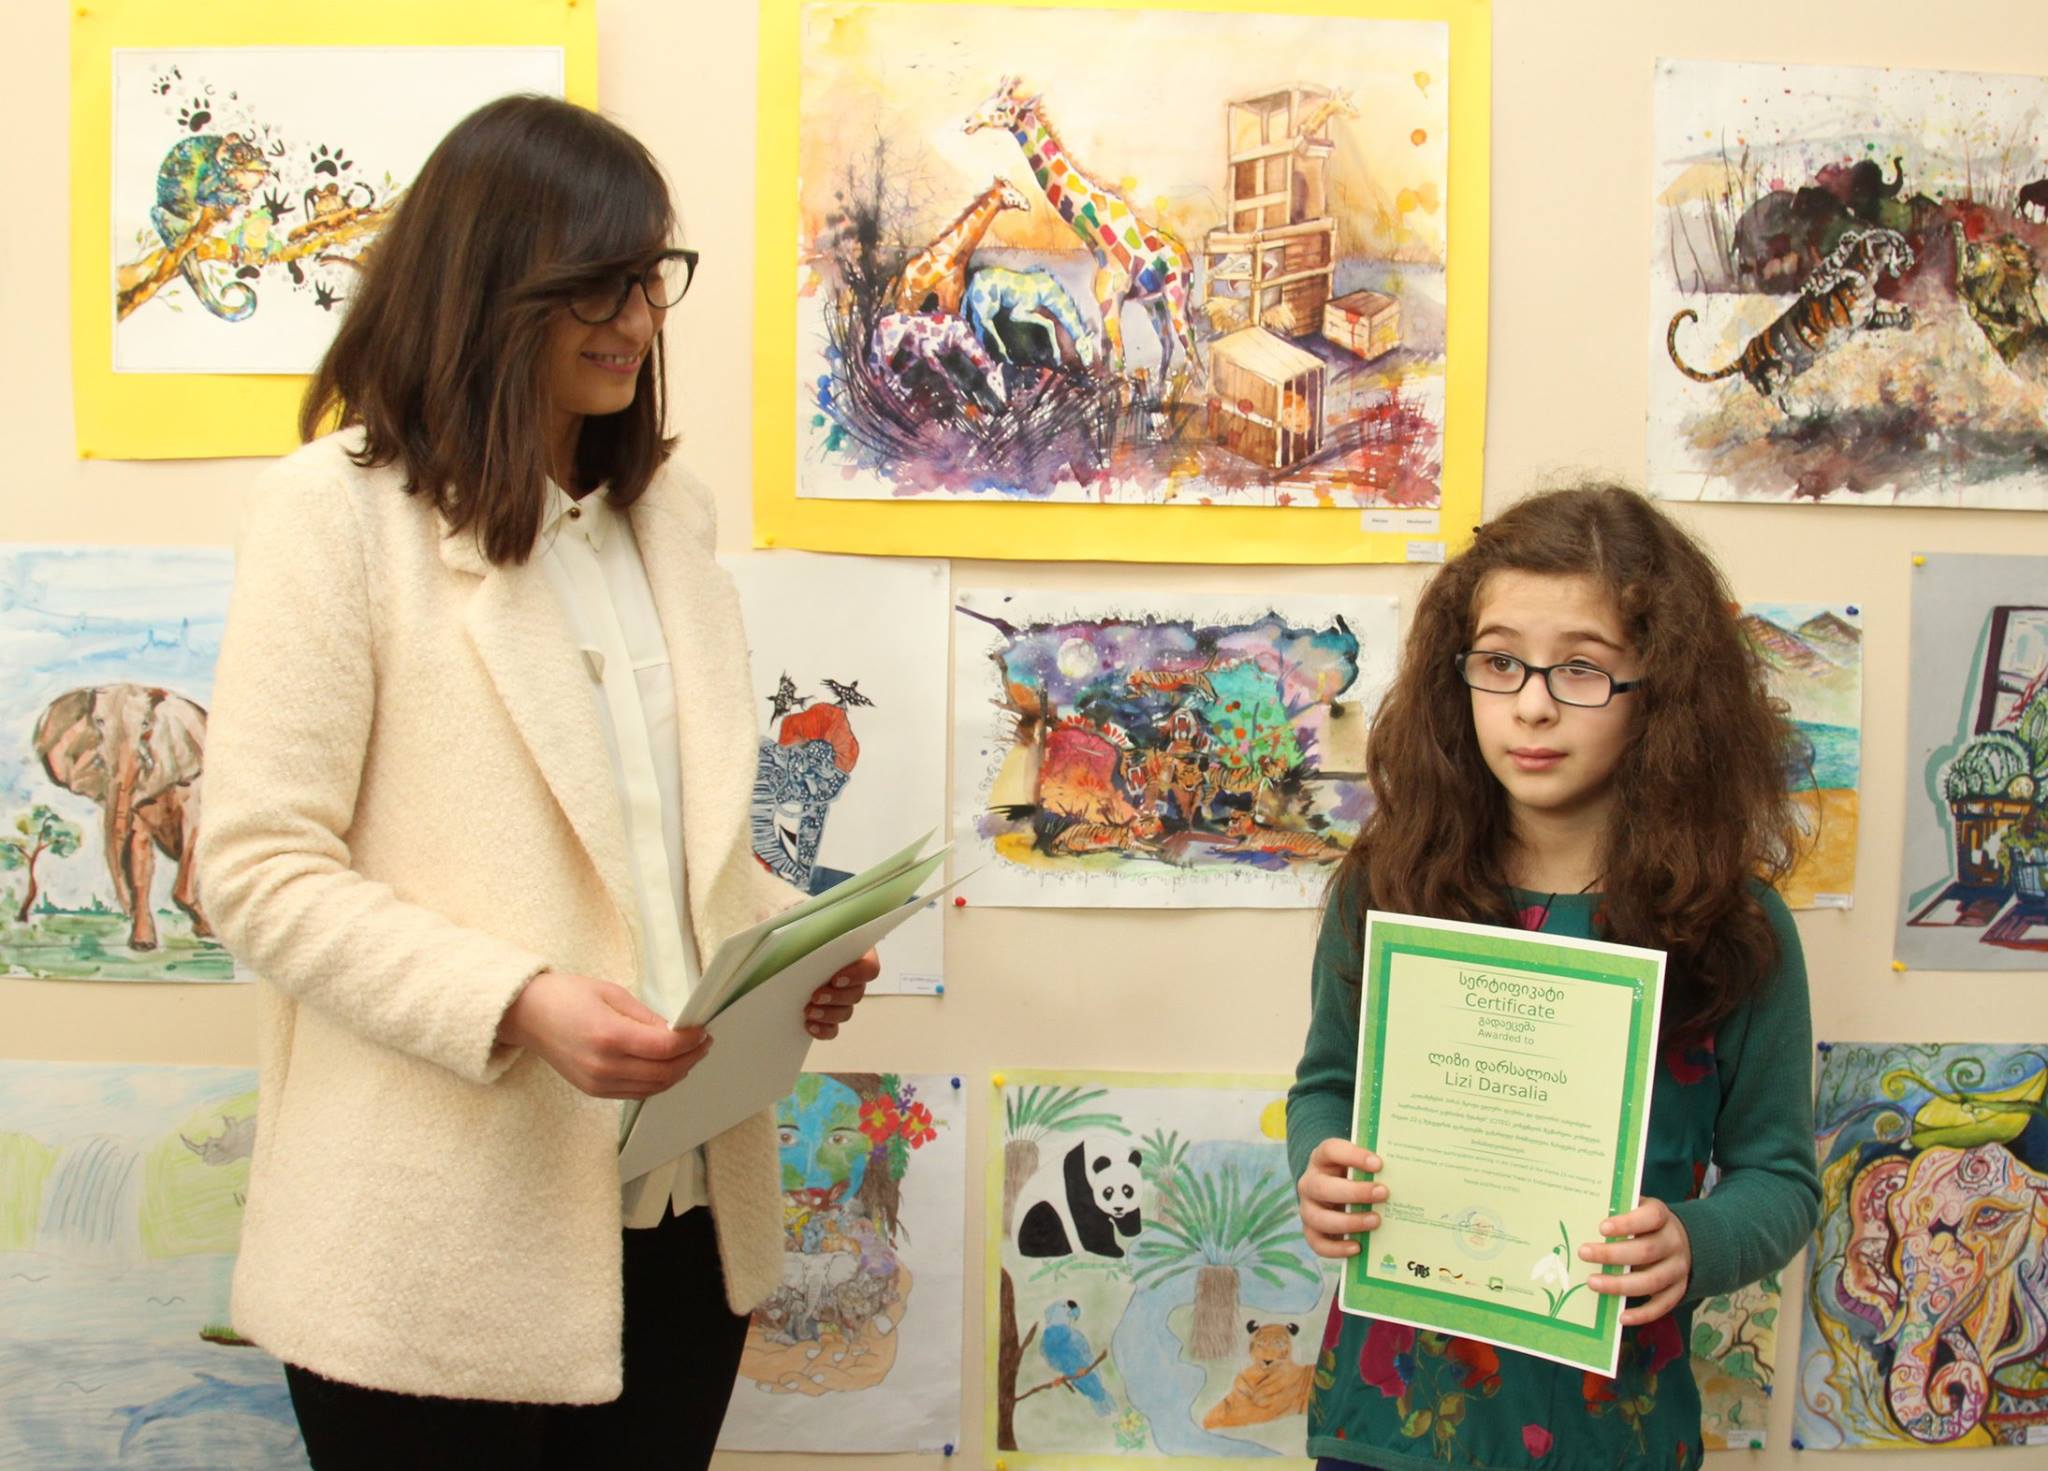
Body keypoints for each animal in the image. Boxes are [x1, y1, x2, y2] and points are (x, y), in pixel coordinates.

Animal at [33, 684, 210, 951]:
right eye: (98, 721)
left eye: (146, 724)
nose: (125, 910)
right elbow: (138, 854)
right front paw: (143, 944)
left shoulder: (194, 782)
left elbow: (194, 836)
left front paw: (209, 930)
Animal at [892, 177, 1030, 316]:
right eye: (1010, 194)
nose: (1028, 204)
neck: (954, 257)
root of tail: (902, 278)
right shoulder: (948, 301)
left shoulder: (954, 301)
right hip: (908, 304)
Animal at [965, 76, 1202, 388]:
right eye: (985, 101)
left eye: (1002, 107)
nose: (968, 122)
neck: (1096, 234)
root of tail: (1187, 260)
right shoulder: (1104, 303)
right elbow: (1106, 359)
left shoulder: (1112, 303)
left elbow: (1120, 365)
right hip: (1155, 303)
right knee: (1169, 345)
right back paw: (1159, 391)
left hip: (1176, 296)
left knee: (1193, 354)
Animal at [1668, 227, 1916, 405]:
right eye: (1902, 247)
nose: (1913, 257)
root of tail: (1744, 357)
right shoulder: (1857, 317)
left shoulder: (1869, 316)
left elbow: (1888, 317)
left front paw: (1907, 318)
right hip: (1773, 375)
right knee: (1774, 398)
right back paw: (1796, 408)